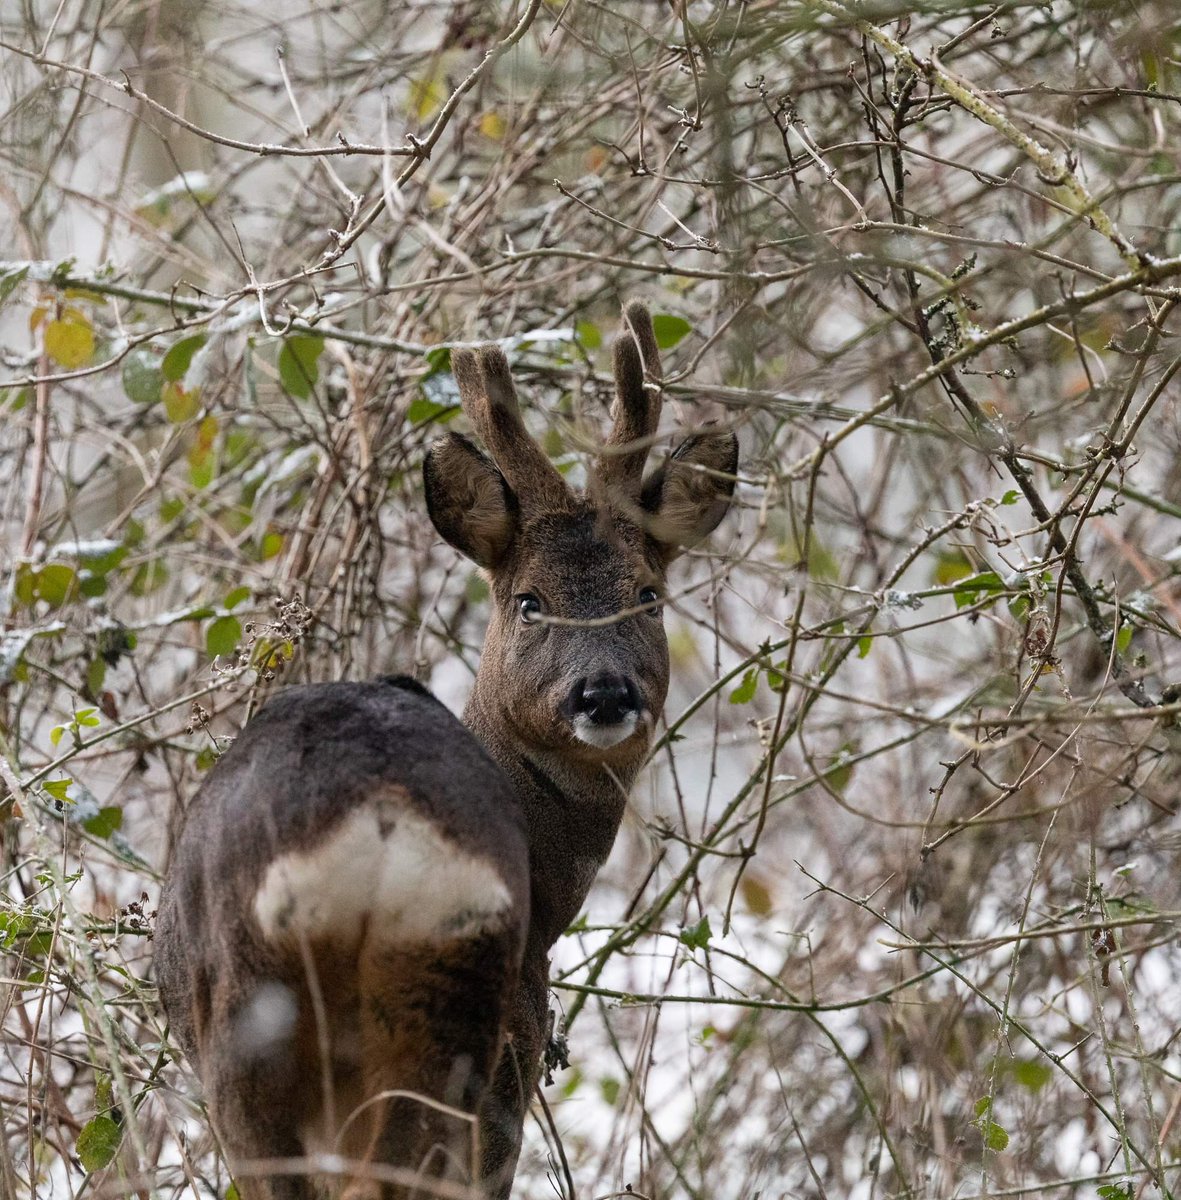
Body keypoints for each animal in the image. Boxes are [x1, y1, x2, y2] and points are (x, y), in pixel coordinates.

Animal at [152, 297, 734, 1190]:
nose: (603, 693)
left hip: (259, 1025)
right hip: (450, 1012)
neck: (552, 884)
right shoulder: (520, 1039)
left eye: (646, 595)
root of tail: (375, 824)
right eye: (529, 600)